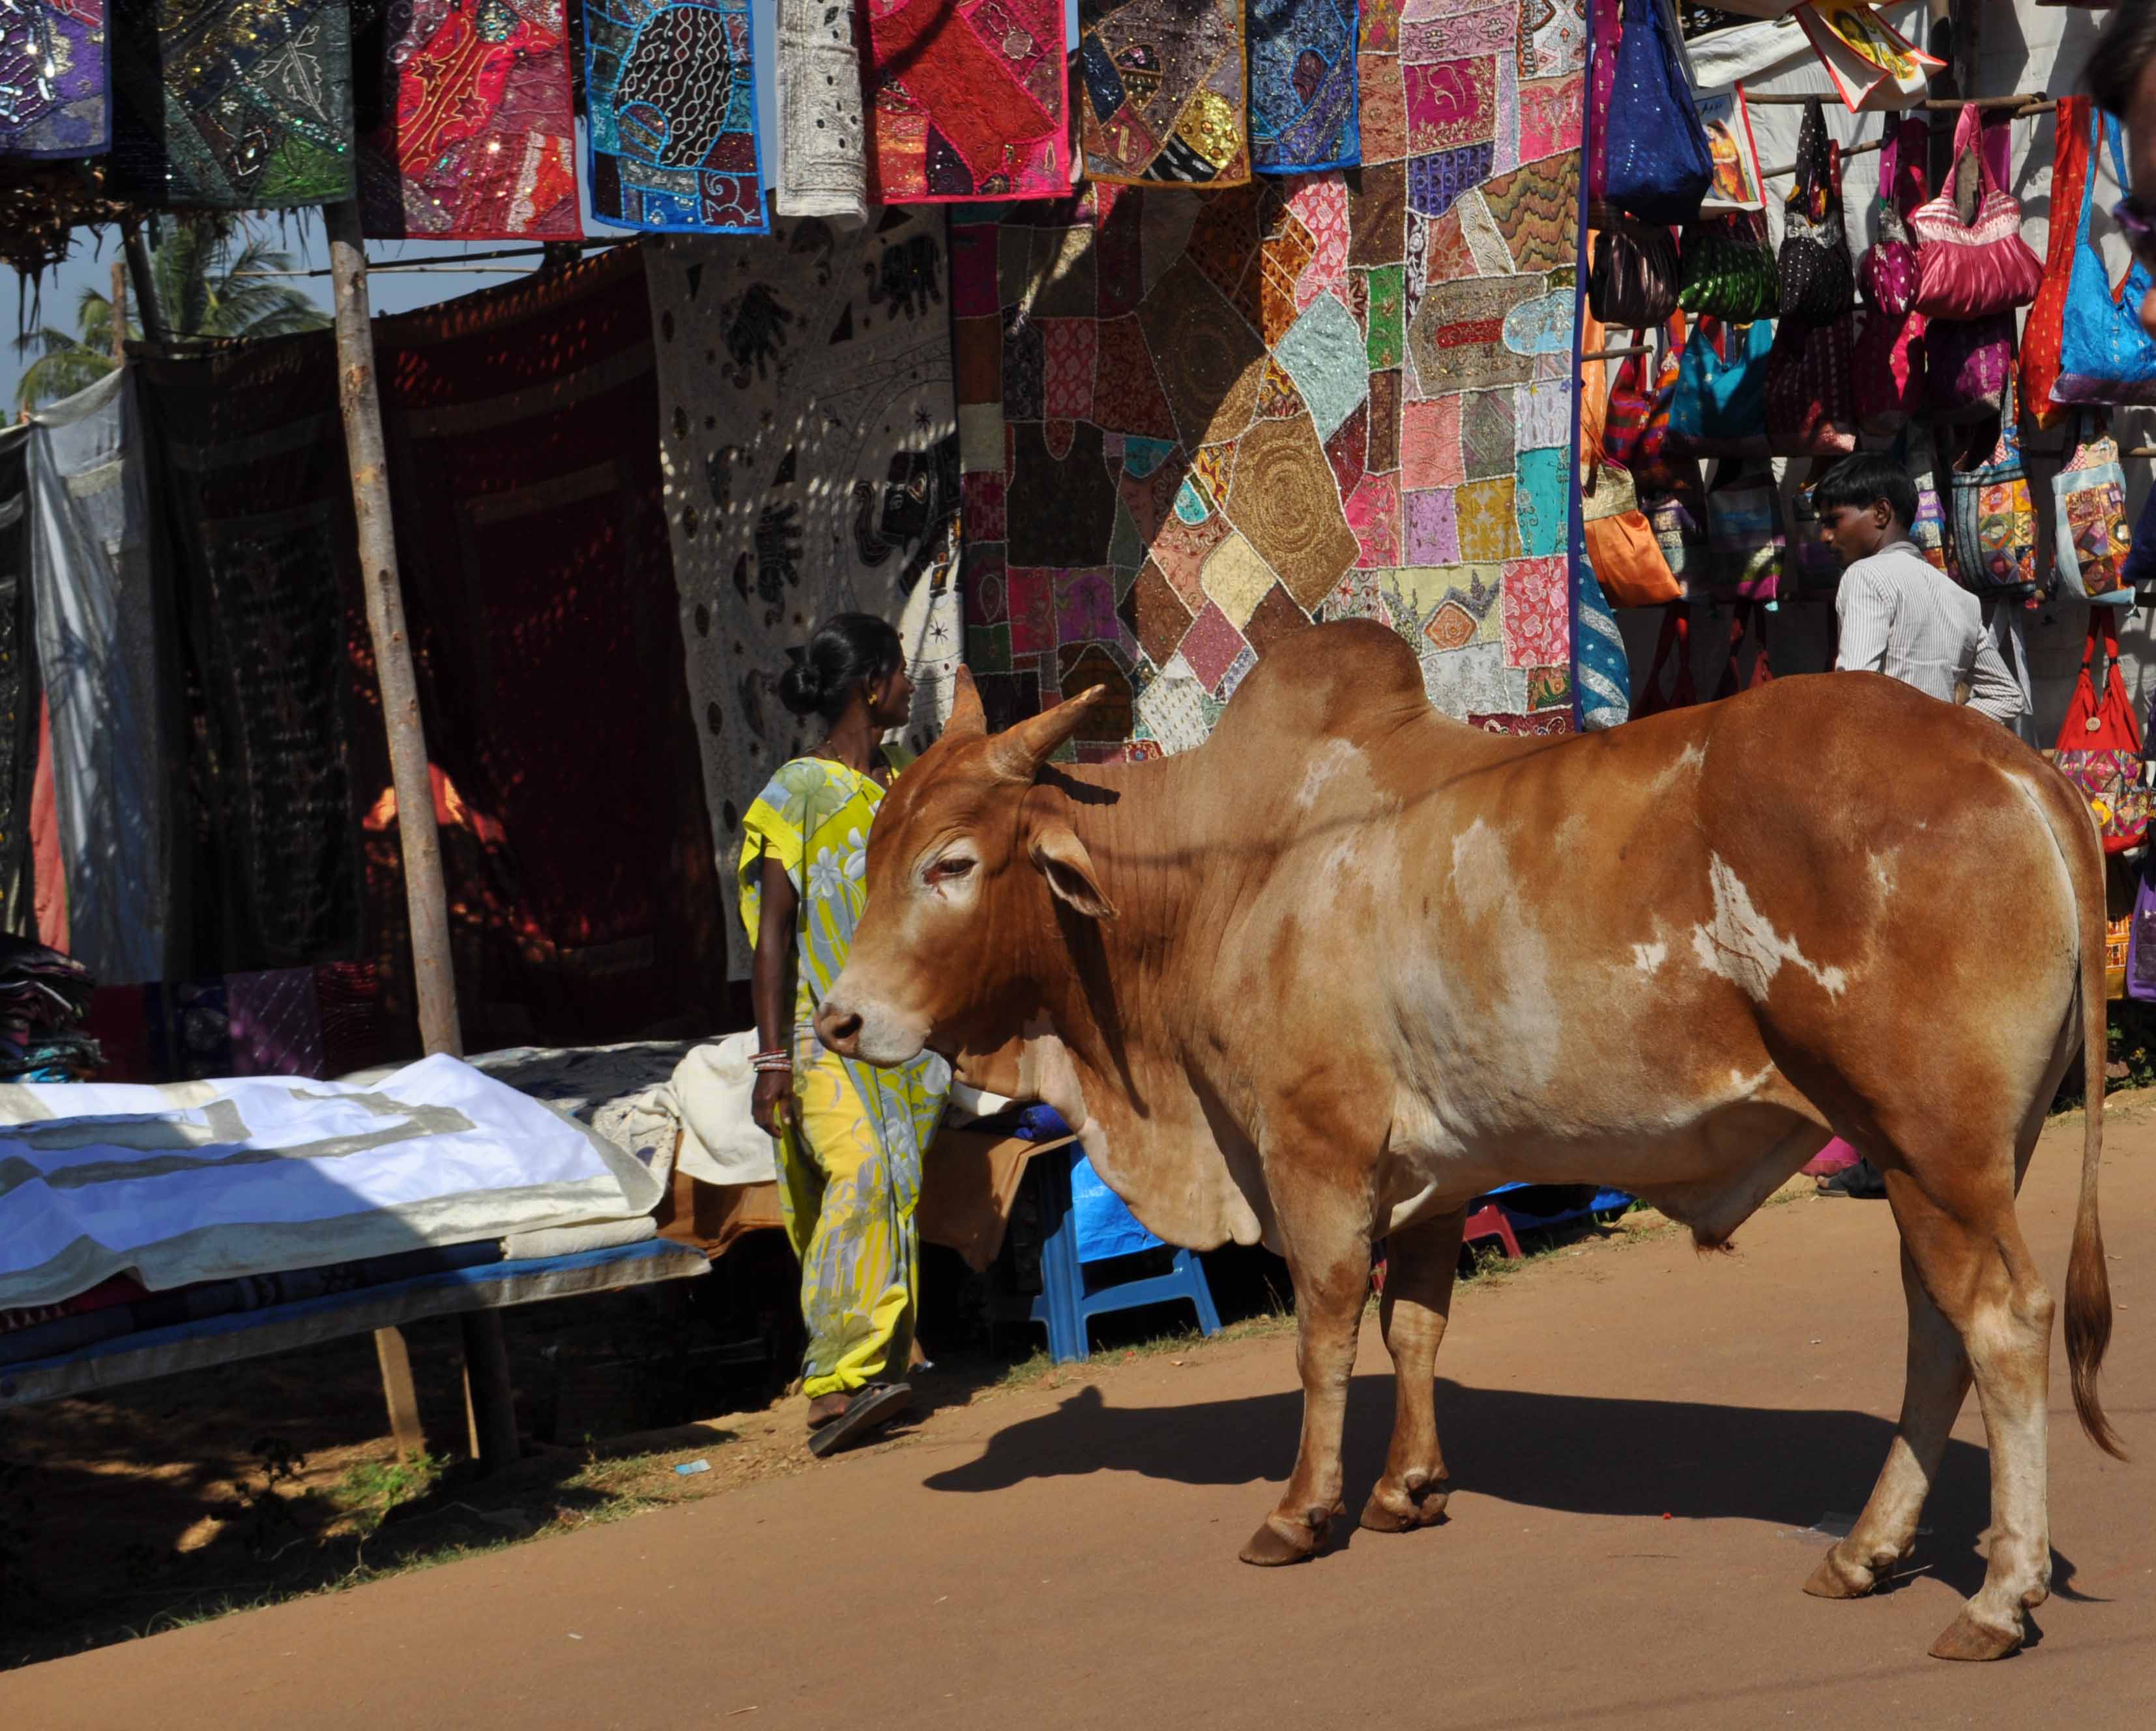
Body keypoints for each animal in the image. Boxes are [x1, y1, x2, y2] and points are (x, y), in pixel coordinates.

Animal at [810, 620, 2121, 1664]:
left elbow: (1326, 1336)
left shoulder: (1315, 1152)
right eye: (870, 858)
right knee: (1936, 1334)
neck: (1225, 880)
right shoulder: (1432, 1175)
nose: (838, 1021)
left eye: (952, 864)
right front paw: (1407, 1488)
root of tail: (2013, 762)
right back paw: (1866, 1550)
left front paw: (1303, 1511)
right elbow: (1416, 1324)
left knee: (2001, 1324)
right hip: (1928, 1159)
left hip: (1933, 1149)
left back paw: (1997, 1595)